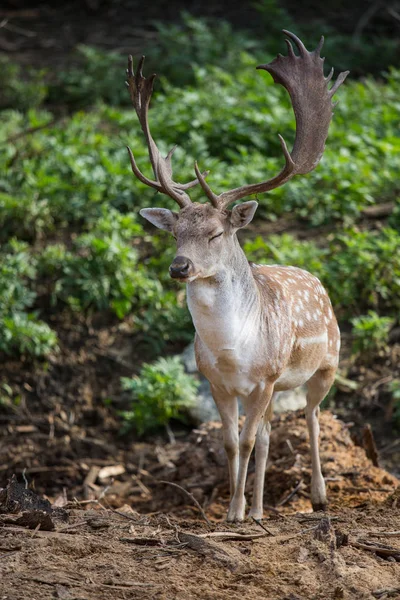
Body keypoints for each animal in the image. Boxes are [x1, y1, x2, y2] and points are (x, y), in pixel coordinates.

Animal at [126, 31, 348, 520]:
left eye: (215, 233)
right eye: (174, 235)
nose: (179, 267)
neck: (233, 352)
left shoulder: (264, 379)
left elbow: (245, 441)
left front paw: (236, 512)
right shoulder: (219, 384)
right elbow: (231, 443)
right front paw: (234, 508)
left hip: (327, 363)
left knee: (311, 416)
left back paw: (319, 495)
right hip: (277, 388)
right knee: (267, 434)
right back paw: (262, 509)